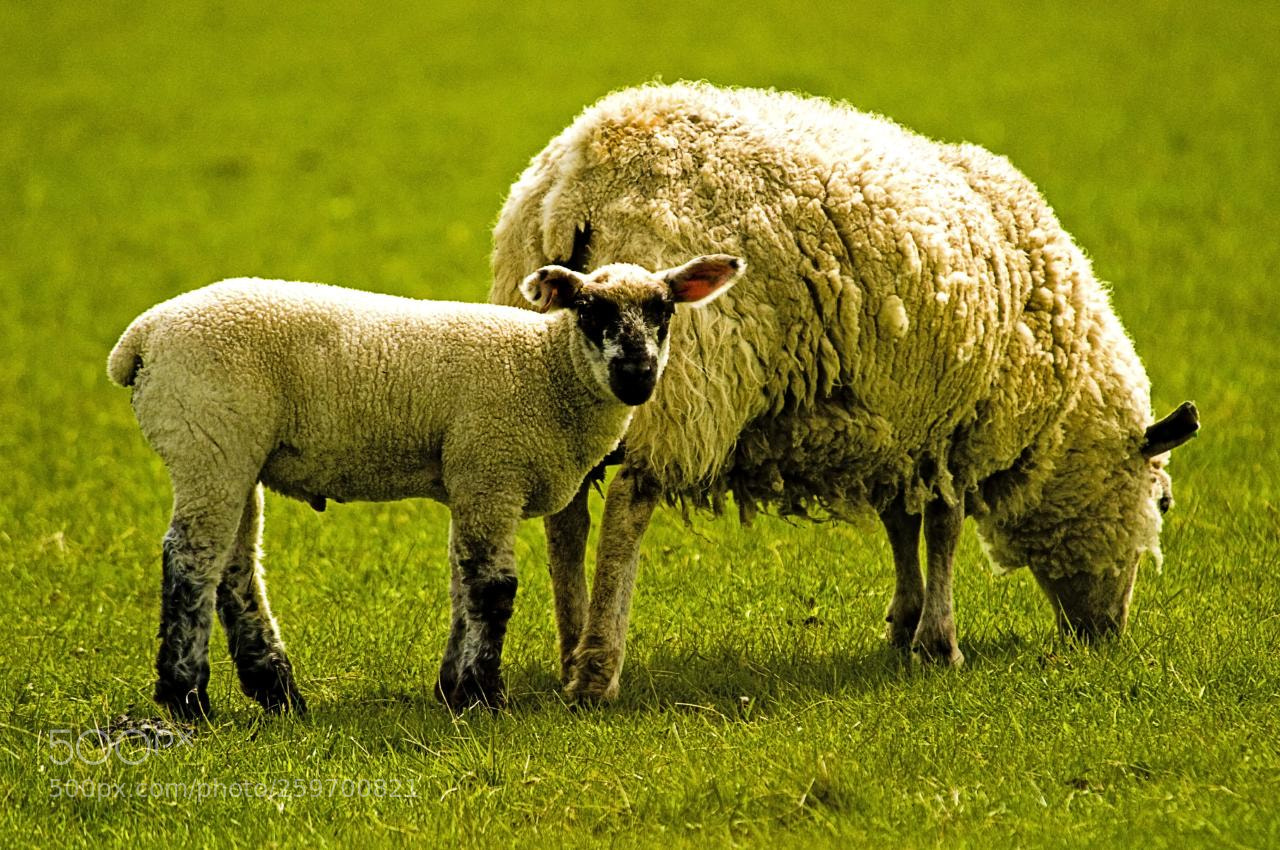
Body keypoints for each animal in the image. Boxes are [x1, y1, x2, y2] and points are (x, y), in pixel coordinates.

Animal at [107, 255, 743, 718]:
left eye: (664, 310)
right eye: (589, 310)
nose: (636, 375)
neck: (545, 369)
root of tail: (141, 338)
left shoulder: (469, 478)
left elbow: (463, 581)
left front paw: (454, 690)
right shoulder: (491, 467)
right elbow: (493, 587)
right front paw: (485, 697)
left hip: (235, 455)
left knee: (234, 568)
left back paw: (278, 693)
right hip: (207, 440)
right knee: (191, 559)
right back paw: (187, 698)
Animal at [489, 82, 1200, 702]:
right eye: (1161, 503)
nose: (1104, 636)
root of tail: (577, 186)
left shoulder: (900, 429)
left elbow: (901, 524)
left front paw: (905, 625)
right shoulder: (959, 427)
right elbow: (943, 530)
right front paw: (939, 643)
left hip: (554, 372)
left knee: (567, 517)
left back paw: (570, 652)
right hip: (679, 382)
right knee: (627, 508)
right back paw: (597, 671)